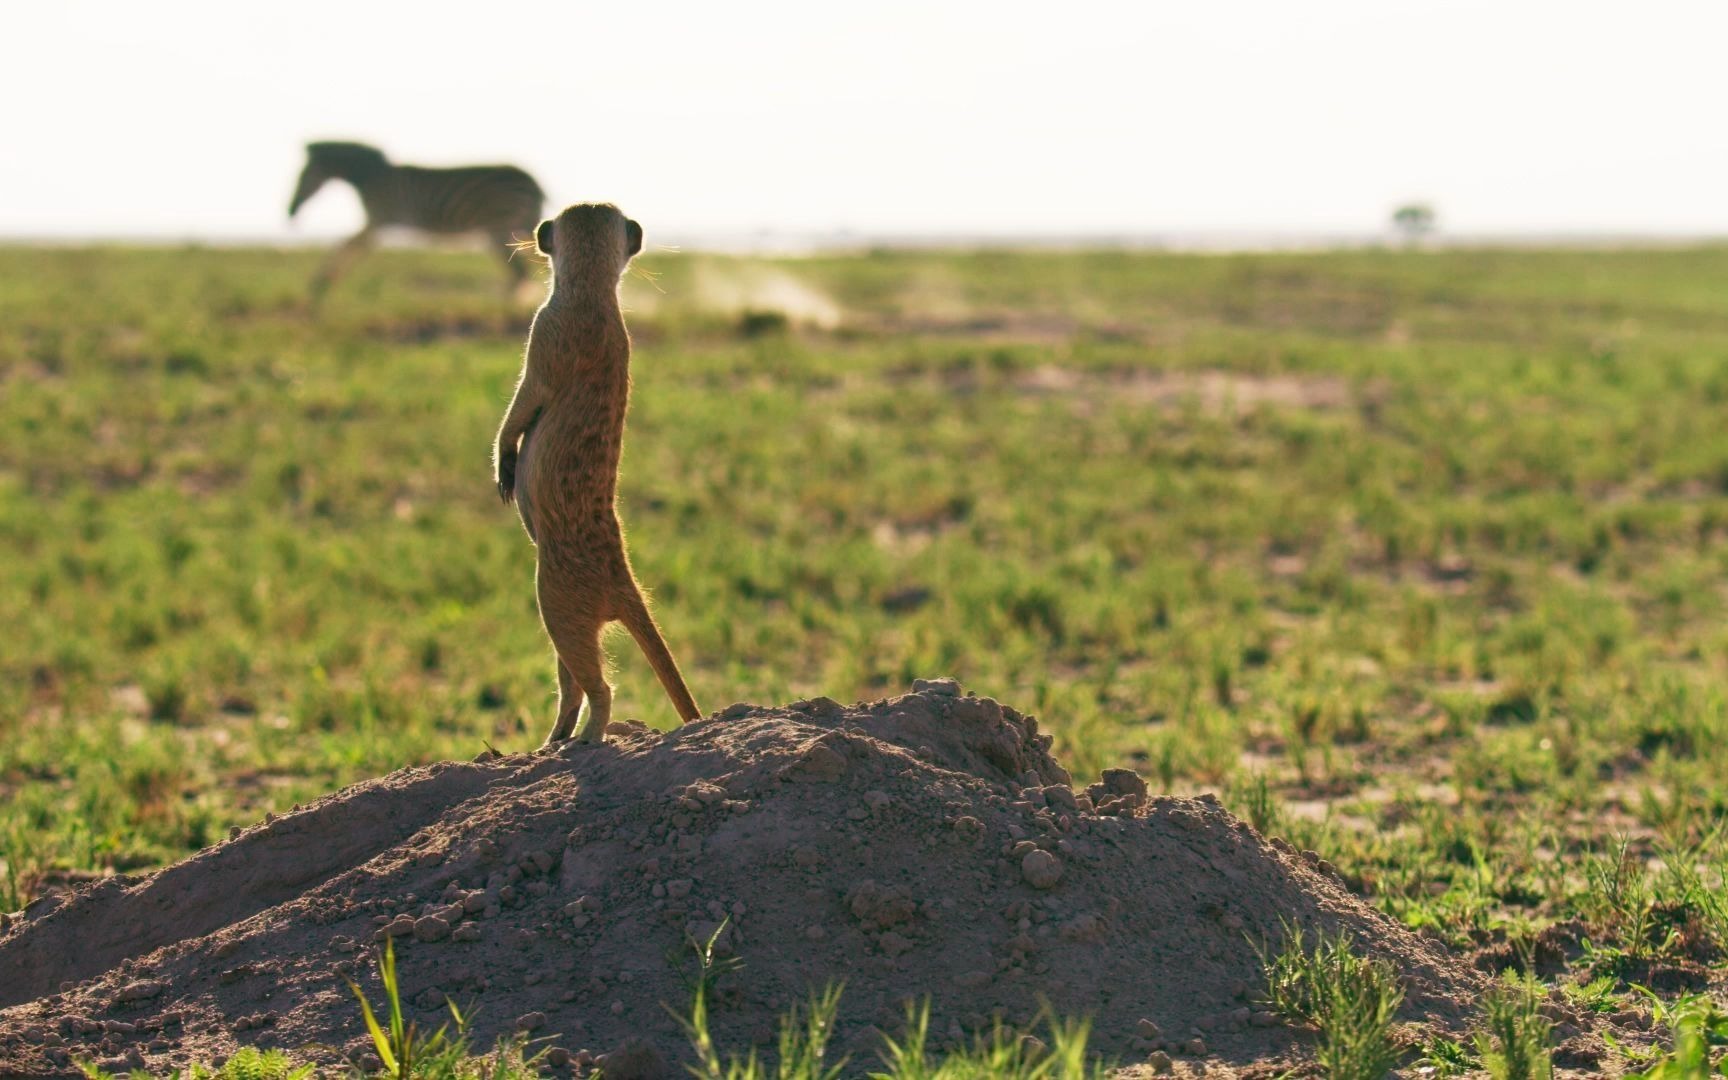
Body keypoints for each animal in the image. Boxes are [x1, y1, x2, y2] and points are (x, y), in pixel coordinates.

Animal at [290, 139, 542, 298]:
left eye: (303, 175)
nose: (290, 211)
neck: (370, 177)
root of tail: (532, 181)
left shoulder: (378, 218)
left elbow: (349, 246)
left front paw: (321, 284)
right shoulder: (375, 222)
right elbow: (350, 247)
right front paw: (322, 285)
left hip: (501, 224)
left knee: (519, 272)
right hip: (506, 227)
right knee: (520, 271)